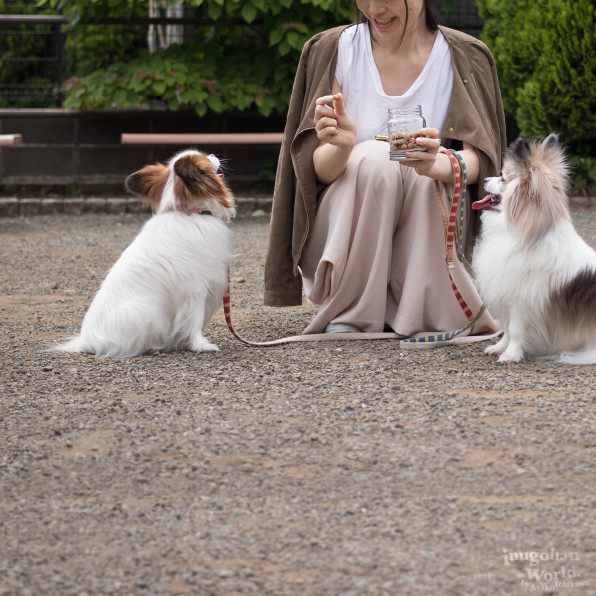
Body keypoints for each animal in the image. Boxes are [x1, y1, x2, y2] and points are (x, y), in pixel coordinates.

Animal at [54, 148, 235, 356]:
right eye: (206, 160)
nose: (214, 154)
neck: (190, 212)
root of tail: (85, 342)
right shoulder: (196, 288)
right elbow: (194, 320)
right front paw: (201, 345)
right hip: (151, 312)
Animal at [472, 134, 592, 364]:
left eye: (502, 178)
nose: (483, 180)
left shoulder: (522, 300)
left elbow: (515, 330)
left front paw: (510, 355)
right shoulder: (507, 295)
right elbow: (506, 329)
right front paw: (499, 348)